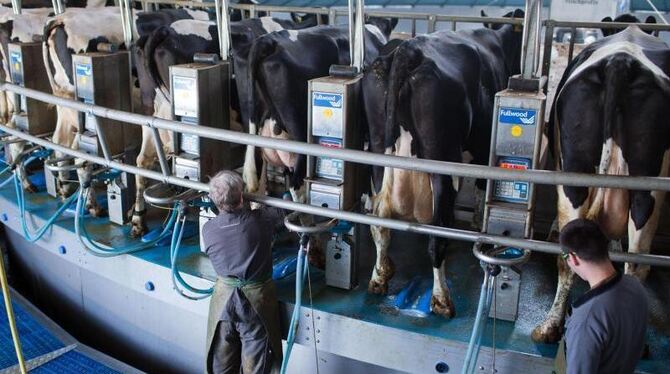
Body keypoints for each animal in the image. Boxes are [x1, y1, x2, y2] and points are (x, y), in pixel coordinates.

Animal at [362, 10, 524, 318]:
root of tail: (407, 49)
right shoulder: (484, 148)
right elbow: (482, 190)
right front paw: (478, 225)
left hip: (377, 150)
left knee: (378, 222)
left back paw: (379, 276)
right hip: (443, 163)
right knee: (437, 238)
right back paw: (441, 299)